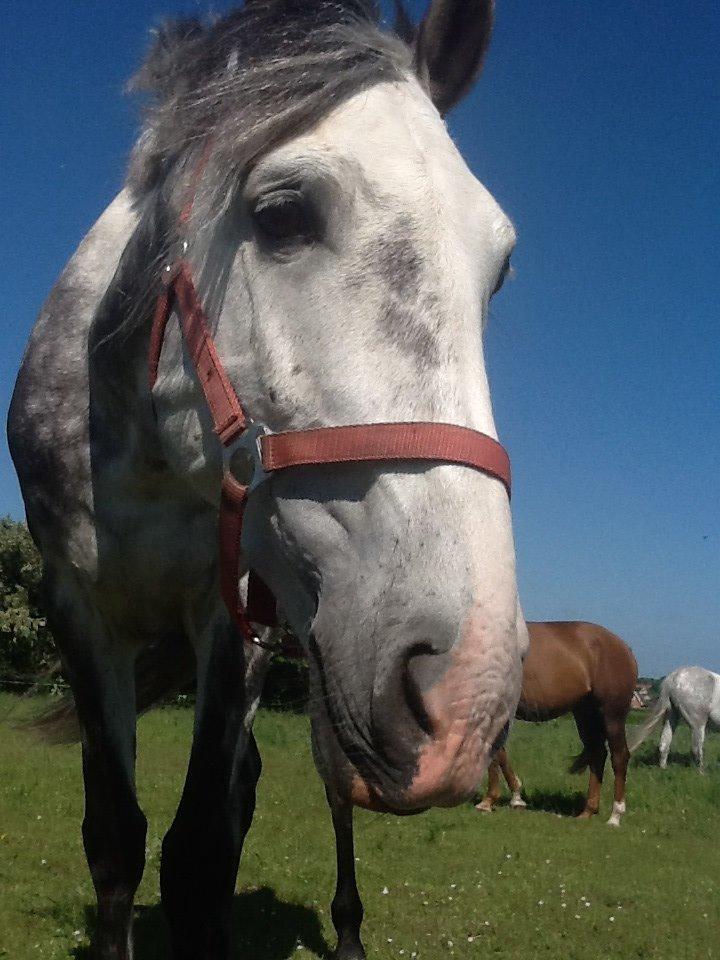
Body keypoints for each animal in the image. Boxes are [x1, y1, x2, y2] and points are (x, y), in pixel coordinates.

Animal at [5, 1, 528, 960]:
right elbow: (116, 840)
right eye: (282, 214)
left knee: (326, 790)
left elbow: (200, 850)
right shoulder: (79, 614)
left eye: (499, 265)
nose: (467, 688)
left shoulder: (236, 618)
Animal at [478, 624, 636, 824]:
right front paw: (516, 797)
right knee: (598, 754)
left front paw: (488, 801)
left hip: (612, 715)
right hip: (585, 713)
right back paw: (588, 811)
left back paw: (615, 816)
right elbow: (499, 752)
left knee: (619, 756)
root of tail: (624, 648)